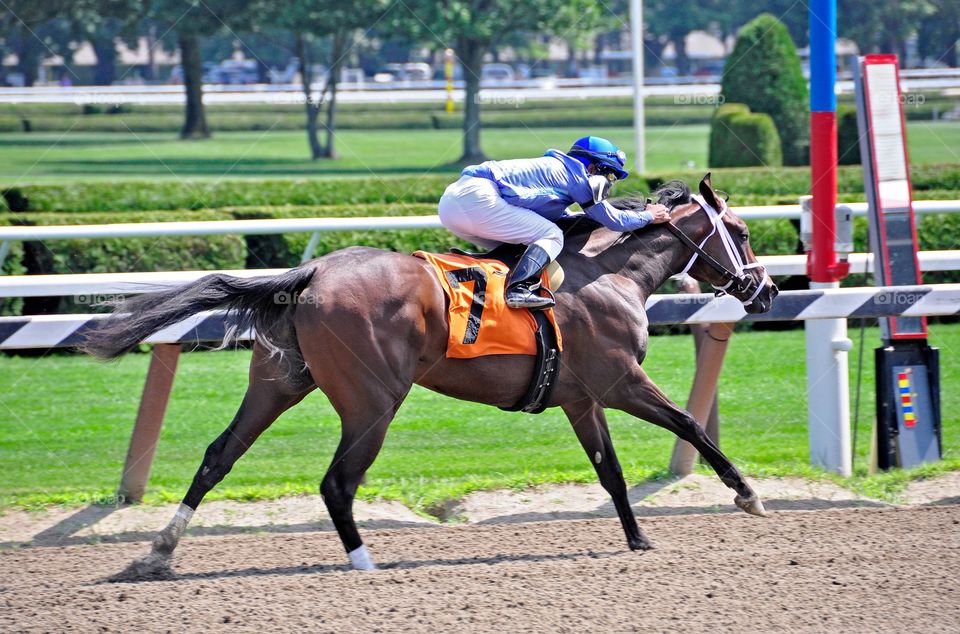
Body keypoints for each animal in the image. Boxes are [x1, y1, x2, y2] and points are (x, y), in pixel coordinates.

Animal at [84, 173, 780, 572]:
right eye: (742, 231)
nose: (767, 290)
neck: (610, 274)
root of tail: (312, 272)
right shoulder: (618, 381)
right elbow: (689, 423)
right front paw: (747, 494)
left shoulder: (580, 398)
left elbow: (609, 472)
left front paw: (638, 540)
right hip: (373, 402)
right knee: (336, 482)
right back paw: (363, 562)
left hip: (279, 383)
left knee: (218, 455)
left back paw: (160, 551)